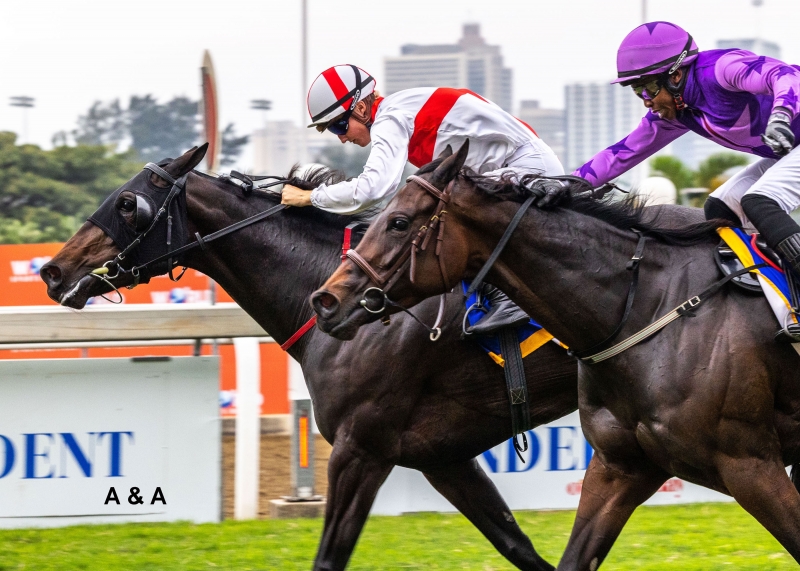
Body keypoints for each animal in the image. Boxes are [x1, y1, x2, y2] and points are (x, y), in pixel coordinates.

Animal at [39, 144, 580, 571]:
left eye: (127, 204)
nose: (52, 271)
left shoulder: (360, 448)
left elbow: (328, 556)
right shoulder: (443, 458)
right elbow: (519, 546)